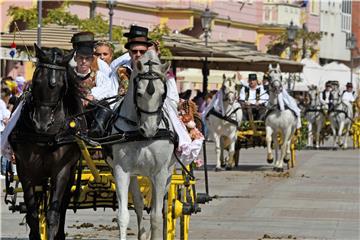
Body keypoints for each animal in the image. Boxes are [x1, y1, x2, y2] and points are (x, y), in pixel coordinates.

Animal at [9, 45, 84, 240]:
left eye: (61, 85)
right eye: (36, 80)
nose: (41, 123)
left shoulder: (62, 169)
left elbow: (53, 214)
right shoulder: (26, 168)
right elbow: (33, 213)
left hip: (70, 171)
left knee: (62, 206)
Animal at [111, 49, 176, 239]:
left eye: (163, 93)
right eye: (138, 93)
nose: (150, 129)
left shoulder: (160, 173)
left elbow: (156, 216)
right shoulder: (121, 170)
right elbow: (123, 216)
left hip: (167, 174)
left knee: (159, 208)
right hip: (134, 175)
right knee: (139, 205)